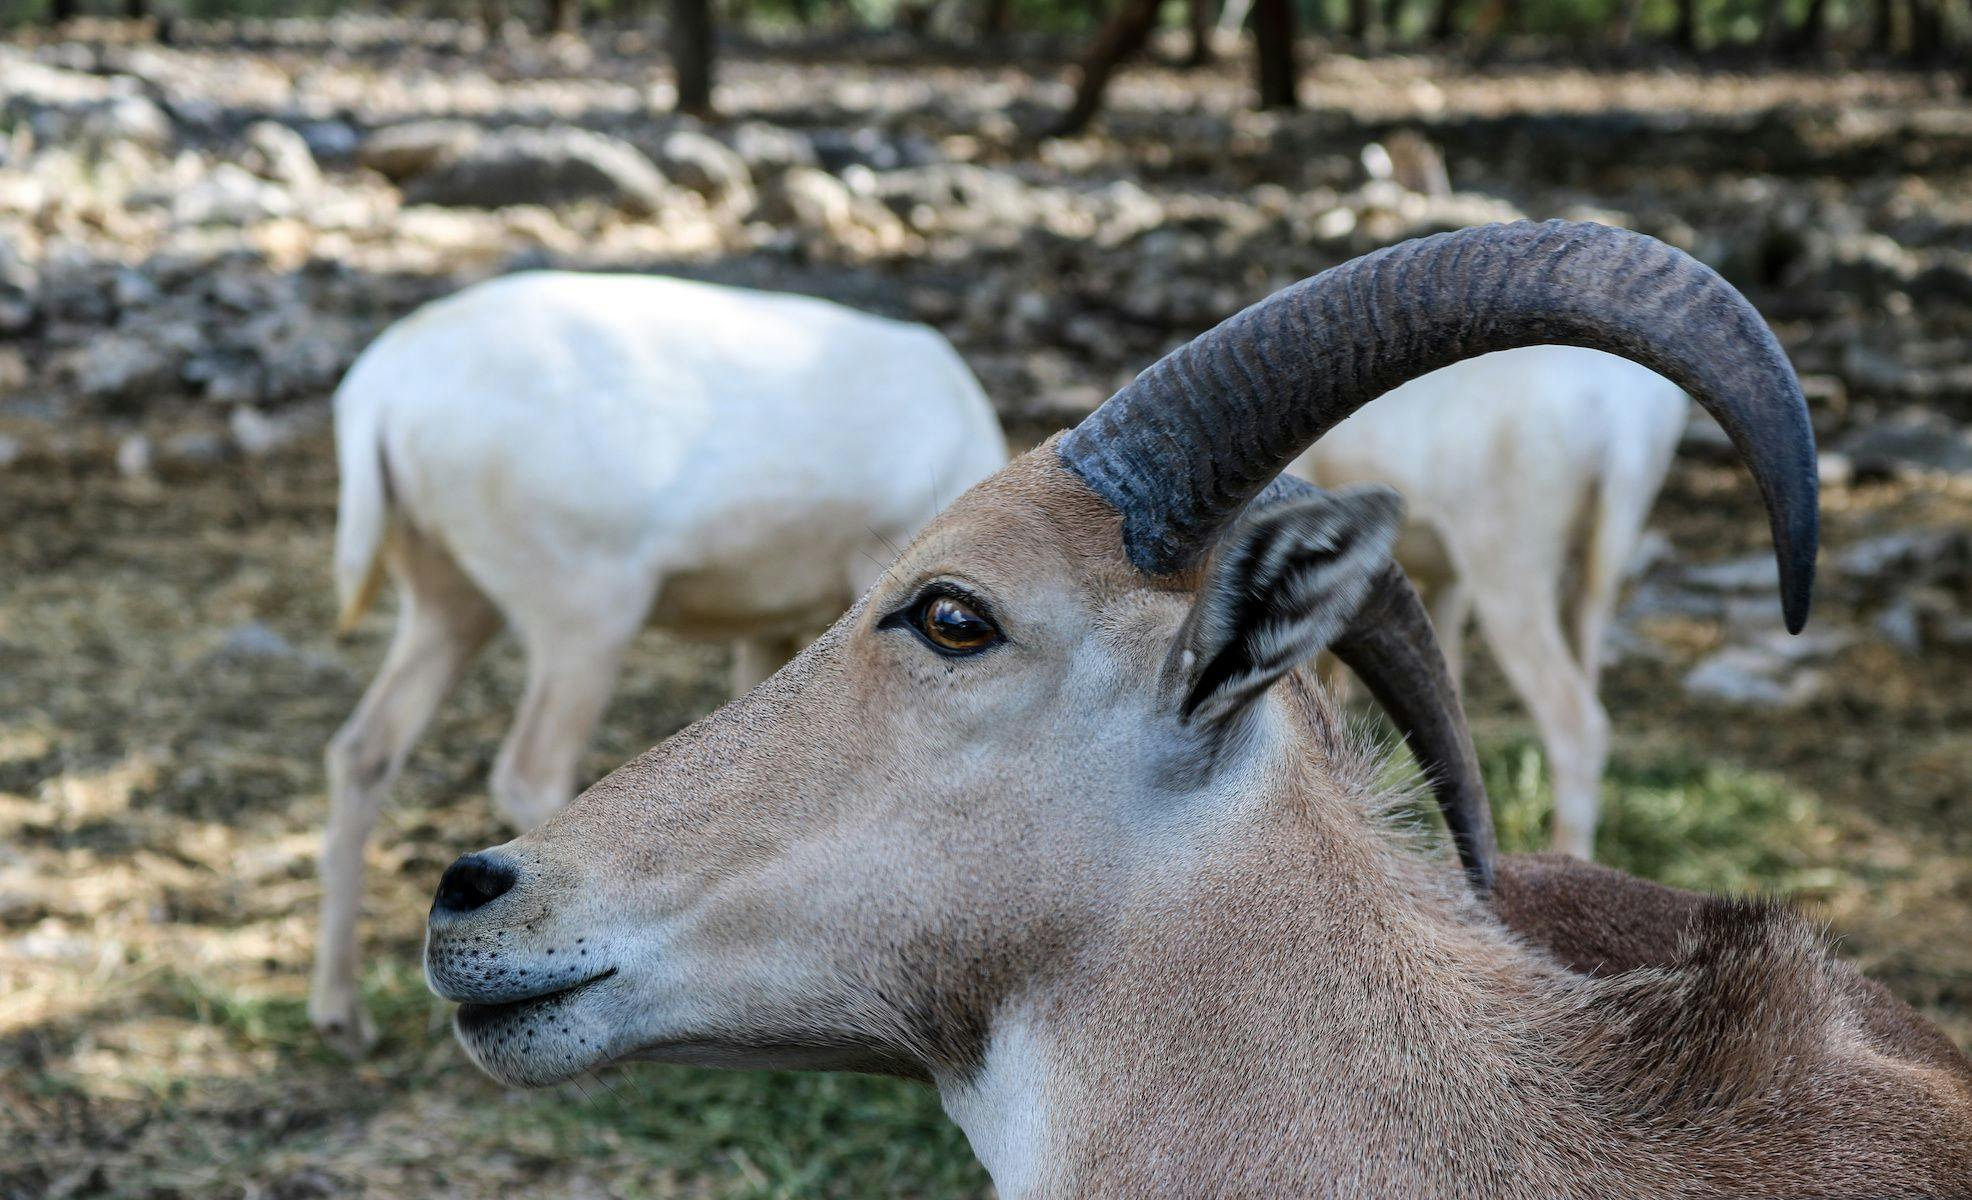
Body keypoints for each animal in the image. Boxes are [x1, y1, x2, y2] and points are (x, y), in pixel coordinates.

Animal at [319, 269, 1017, 1048]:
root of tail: (378, 396)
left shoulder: (769, 623)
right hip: (584, 600)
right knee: (529, 770)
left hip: (444, 590)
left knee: (362, 747)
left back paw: (341, 1012)